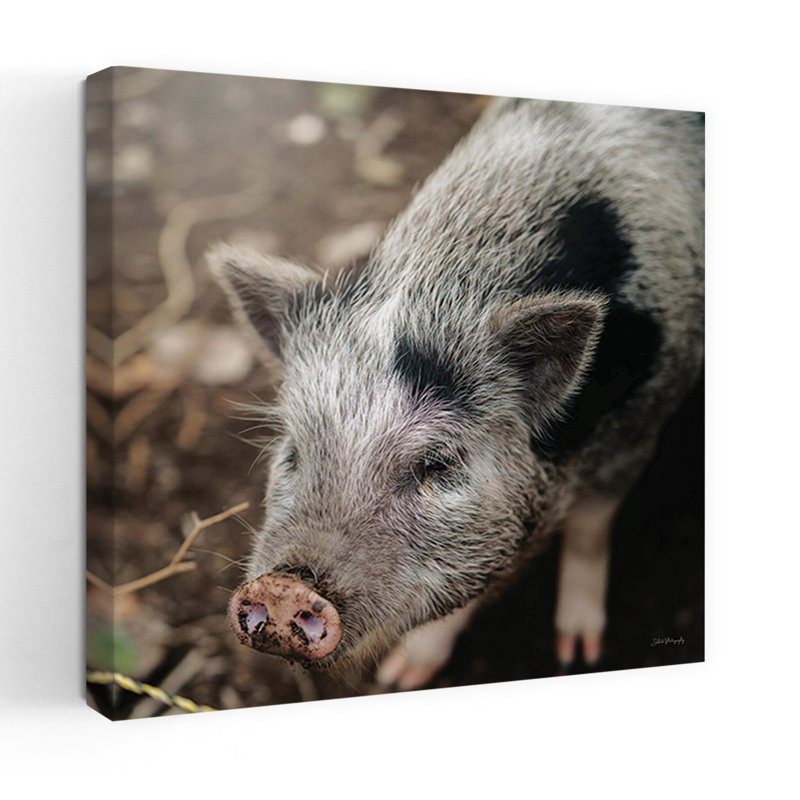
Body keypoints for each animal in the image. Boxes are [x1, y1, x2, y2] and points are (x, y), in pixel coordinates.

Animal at [208, 96, 704, 690]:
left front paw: (579, 655)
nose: (284, 587)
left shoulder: (644, 420)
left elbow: (589, 529)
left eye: (438, 464)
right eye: (295, 453)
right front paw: (399, 676)